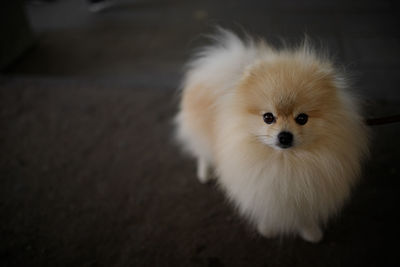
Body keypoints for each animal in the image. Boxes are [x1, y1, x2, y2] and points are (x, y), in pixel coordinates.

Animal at [175, 29, 368, 245]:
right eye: (268, 117)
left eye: (302, 118)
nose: (284, 136)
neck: (285, 162)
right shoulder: (262, 189)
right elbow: (267, 210)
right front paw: (267, 230)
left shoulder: (309, 194)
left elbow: (305, 215)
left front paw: (311, 232)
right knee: (203, 154)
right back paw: (205, 173)